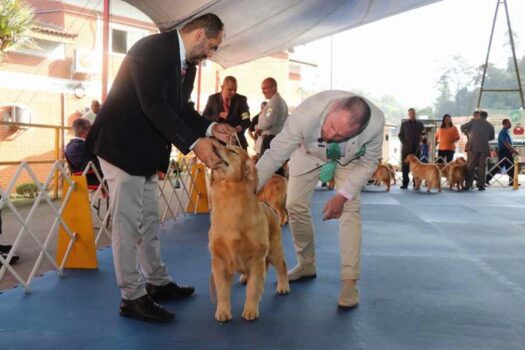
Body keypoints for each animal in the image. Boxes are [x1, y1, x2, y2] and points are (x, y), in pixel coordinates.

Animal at [210, 146, 290, 322]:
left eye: (232, 150)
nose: (213, 146)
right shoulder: (219, 261)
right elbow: (222, 291)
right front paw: (223, 311)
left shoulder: (256, 258)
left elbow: (253, 289)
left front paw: (250, 310)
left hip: (274, 249)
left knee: (282, 266)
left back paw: (283, 286)